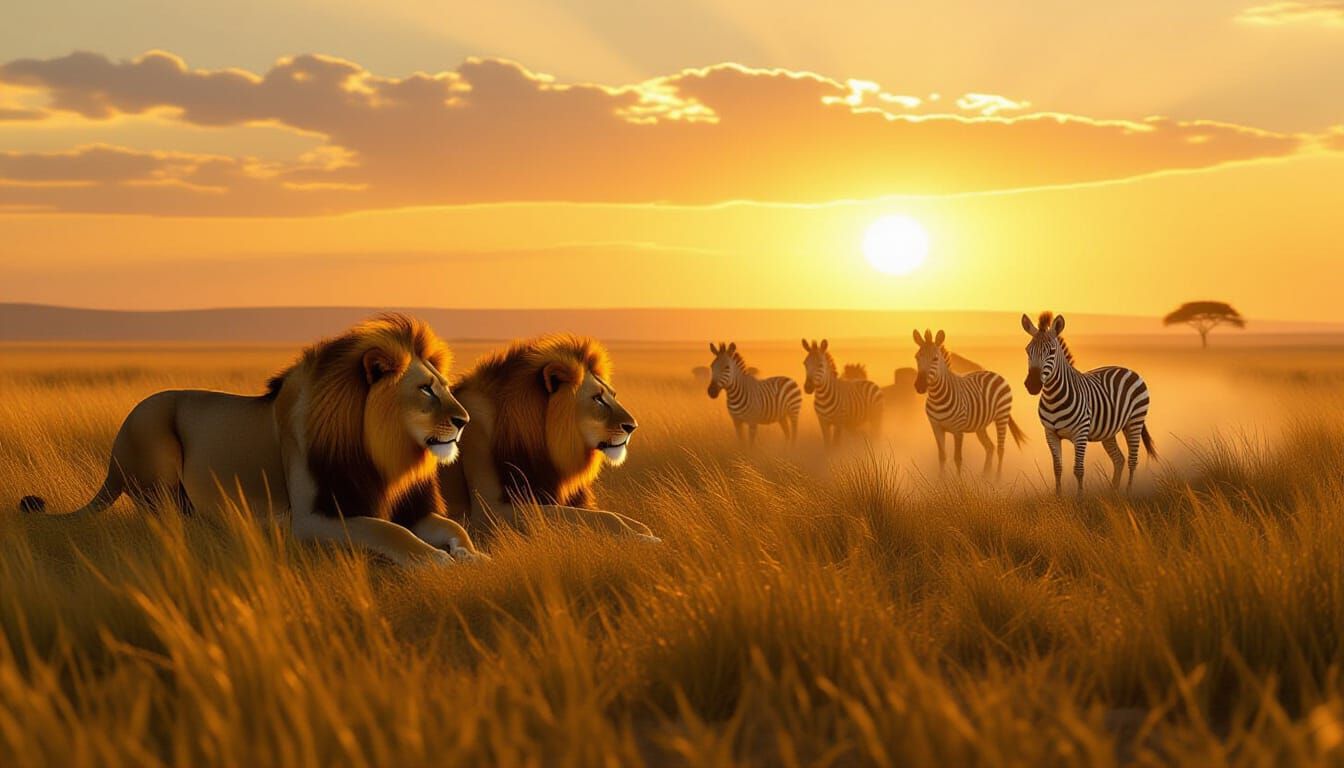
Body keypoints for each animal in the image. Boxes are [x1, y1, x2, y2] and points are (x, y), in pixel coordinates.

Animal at [18, 314, 485, 567]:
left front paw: (472, 555)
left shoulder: (406, 505)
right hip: (154, 430)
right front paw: (436, 560)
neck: (385, 455)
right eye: (425, 390)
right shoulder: (313, 516)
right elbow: (389, 532)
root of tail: (114, 456)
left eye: (446, 386)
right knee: (169, 521)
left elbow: (452, 525)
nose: (464, 421)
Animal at [437, 334, 658, 542]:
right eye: (597, 398)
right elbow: (604, 517)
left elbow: (610, 515)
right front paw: (645, 539)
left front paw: (645, 531)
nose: (632, 427)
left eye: (614, 395)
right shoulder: (489, 509)